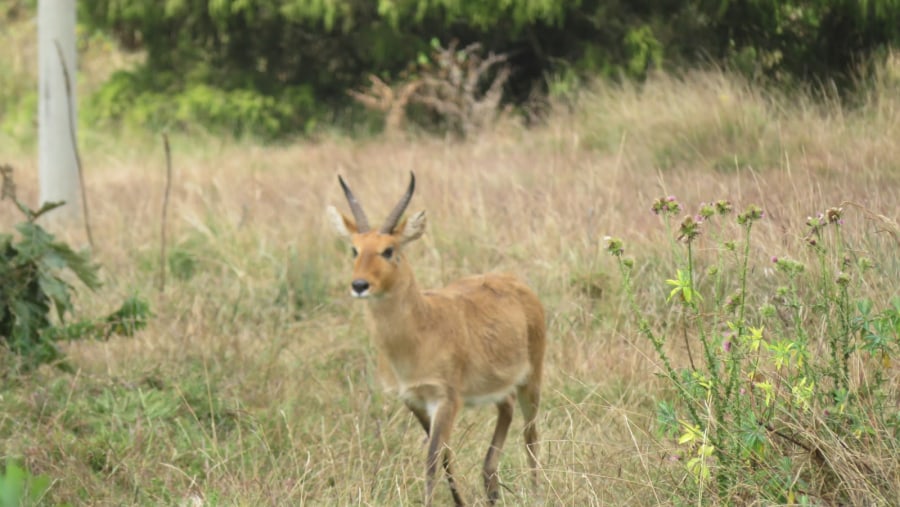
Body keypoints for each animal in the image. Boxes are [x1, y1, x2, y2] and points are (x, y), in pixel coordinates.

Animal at [326, 173, 544, 506]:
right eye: (354, 249)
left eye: (388, 249)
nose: (359, 285)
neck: (420, 332)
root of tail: (515, 282)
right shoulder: (414, 400)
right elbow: (445, 457)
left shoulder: (446, 399)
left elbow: (431, 461)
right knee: (506, 409)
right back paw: (491, 488)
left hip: (531, 380)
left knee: (531, 435)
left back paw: (535, 492)